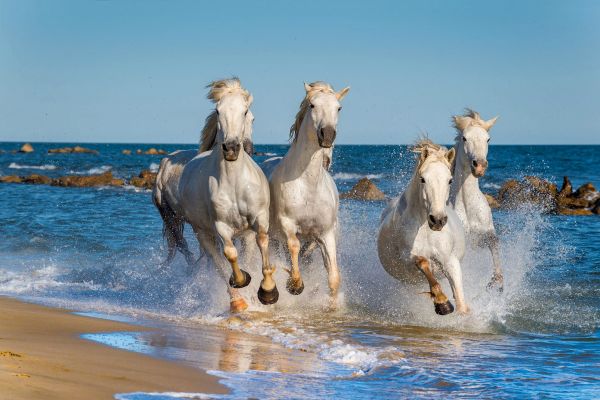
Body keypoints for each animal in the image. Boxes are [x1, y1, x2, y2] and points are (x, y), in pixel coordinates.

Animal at [155, 78, 276, 312]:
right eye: (218, 111)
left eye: (248, 113)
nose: (233, 148)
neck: (234, 182)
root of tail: (165, 163)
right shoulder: (221, 227)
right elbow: (230, 257)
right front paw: (243, 285)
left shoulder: (256, 224)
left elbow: (260, 247)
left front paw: (267, 291)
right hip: (191, 227)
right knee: (209, 258)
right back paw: (235, 300)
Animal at [270, 82, 350, 306]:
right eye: (312, 105)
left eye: (339, 108)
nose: (328, 135)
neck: (308, 185)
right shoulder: (288, 225)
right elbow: (293, 247)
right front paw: (294, 285)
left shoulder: (325, 233)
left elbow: (333, 277)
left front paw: (332, 306)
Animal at [376, 141, 468, 316]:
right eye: (423, 179)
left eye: (450, 180)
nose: (437, 220)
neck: (425, 229)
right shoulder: (407, 258)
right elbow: (423, 262)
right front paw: (443, 303)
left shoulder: (449, 260)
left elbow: (461, 301)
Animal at [448, 111, 504, 290]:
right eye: (464, 138)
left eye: (488, 139)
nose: (479, 165)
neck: (468, 207)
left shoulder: (483, 235)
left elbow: (495, 242)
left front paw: (497, 281)